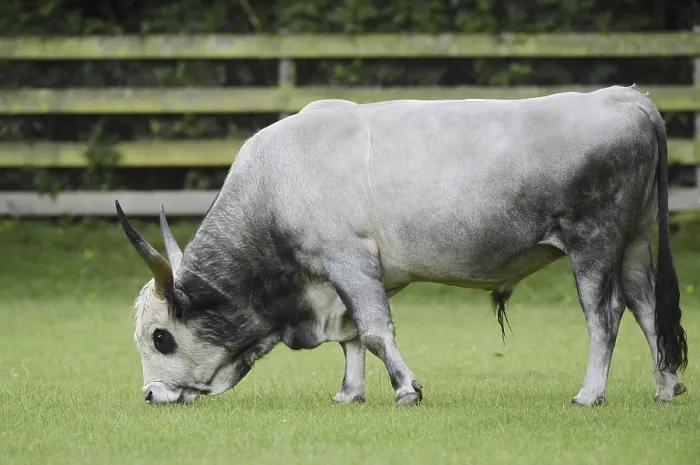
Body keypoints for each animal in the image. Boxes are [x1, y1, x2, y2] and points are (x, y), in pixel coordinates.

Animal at [116, 84, 688, 408]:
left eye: (162, 338)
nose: (149, 395)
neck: (272, 188)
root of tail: (625, 97)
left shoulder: (349, 263)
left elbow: (373, 332)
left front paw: (406, 389)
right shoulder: (337, 281)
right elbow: (351, 337)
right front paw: (350, 393)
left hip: (594, 242)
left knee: (605, 315)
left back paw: (591, 394)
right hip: (634, 244)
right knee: (646, 309)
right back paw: (666, 388)